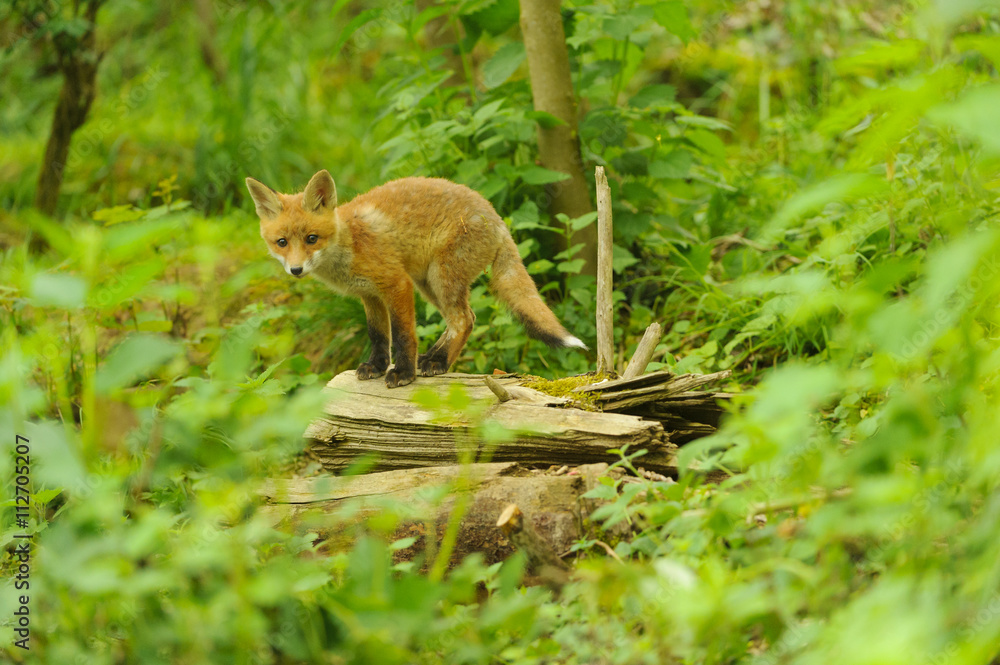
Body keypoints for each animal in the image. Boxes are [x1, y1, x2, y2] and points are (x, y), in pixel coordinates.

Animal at [245, 170, 587, 388]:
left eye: (312, 239)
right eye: (282, 242)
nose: (296, 270)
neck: (350, 243)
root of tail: (497, 217)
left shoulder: (396, 284)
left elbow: (403, 334)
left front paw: (403, 373)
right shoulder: (369, 295)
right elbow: (378, 336)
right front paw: (377, 366)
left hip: (439, 278)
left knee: (463, 319)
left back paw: (439, 363)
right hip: (429, 285)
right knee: (466, 319)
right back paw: (435, 358)